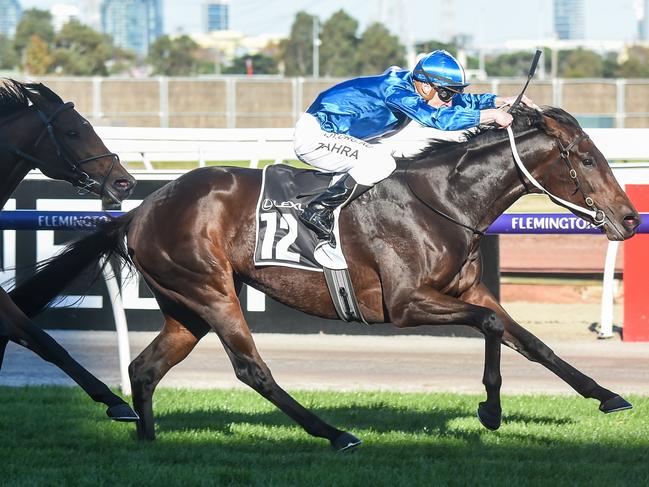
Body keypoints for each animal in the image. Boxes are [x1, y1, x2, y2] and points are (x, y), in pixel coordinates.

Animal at [10, 106, 636, 450]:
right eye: (584, 156)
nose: (630, 218)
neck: (442, 200)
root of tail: (140, 209)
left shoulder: (466, 289)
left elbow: (529, 341)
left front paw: (606, 395)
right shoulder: (405, 304)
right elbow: (490, 326)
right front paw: (491, 411)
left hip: (185, 306)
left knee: (145, 368)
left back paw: (147, 440)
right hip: (211, 291)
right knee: (252, 369)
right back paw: (336, 434)